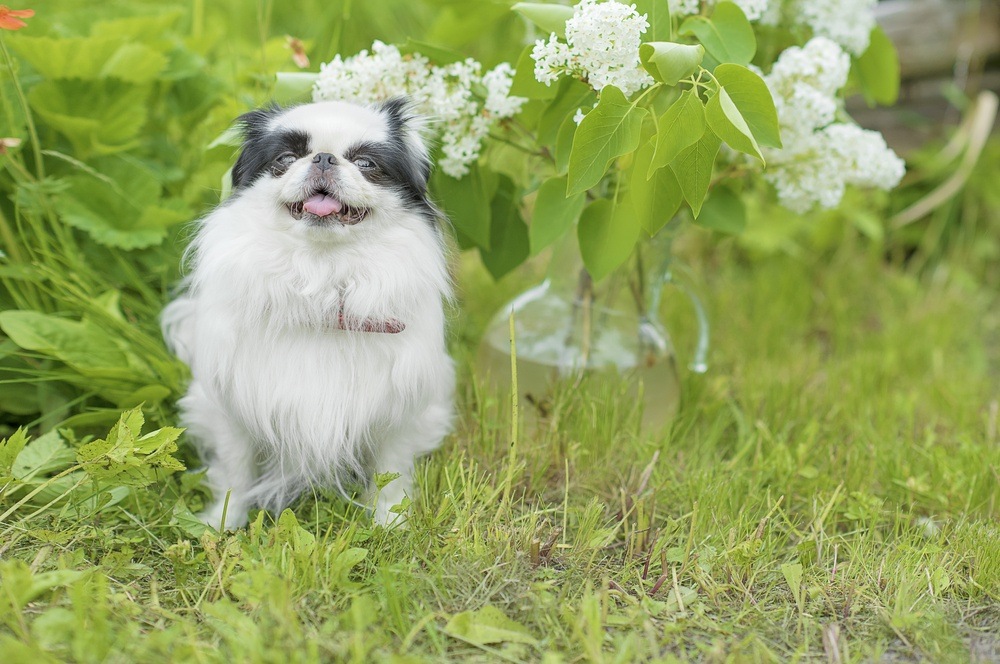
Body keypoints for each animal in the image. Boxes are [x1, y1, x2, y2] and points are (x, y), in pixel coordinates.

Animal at [162, 98, 456, 528]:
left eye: (365, 163)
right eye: (286, 159)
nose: (324, 158)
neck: (319, 279)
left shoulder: (398, 412)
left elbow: (391, 474)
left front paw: (389, 523)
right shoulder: (234, 410)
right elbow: (236, 472)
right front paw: (224, 522)